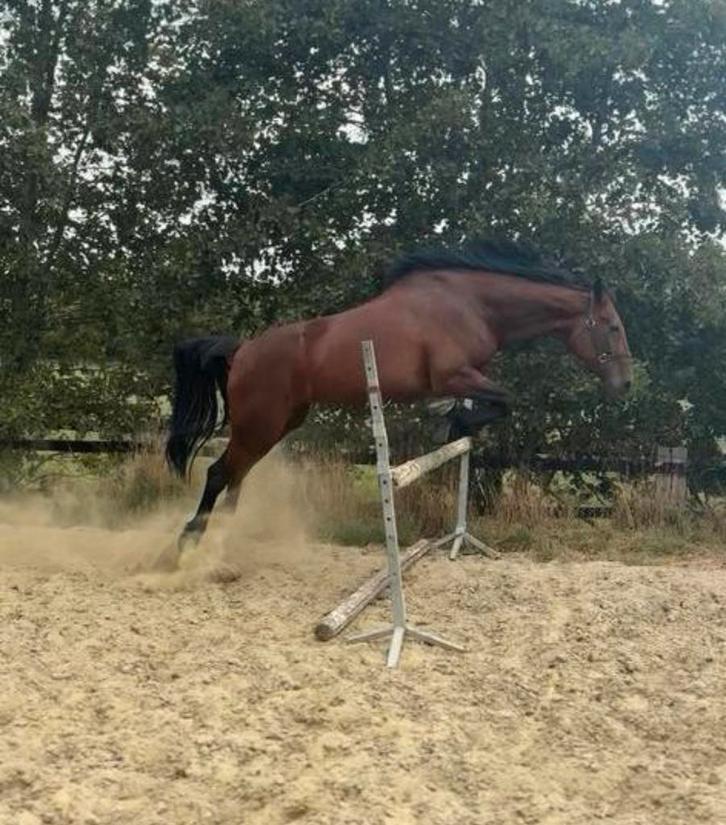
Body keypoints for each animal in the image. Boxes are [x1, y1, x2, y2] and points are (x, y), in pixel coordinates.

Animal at [164, 240, 632, 563]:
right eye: (611, 326)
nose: (625, 384)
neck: (474, 305)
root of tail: (242, 350)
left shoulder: (467, 377)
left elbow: (489, 406)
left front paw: (453, 420)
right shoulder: (454, 374)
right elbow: (504, 400)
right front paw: (449, 421)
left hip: (277, 425)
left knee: (235, 477)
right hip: (259, 425)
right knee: (219, 473)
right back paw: (188, 545)